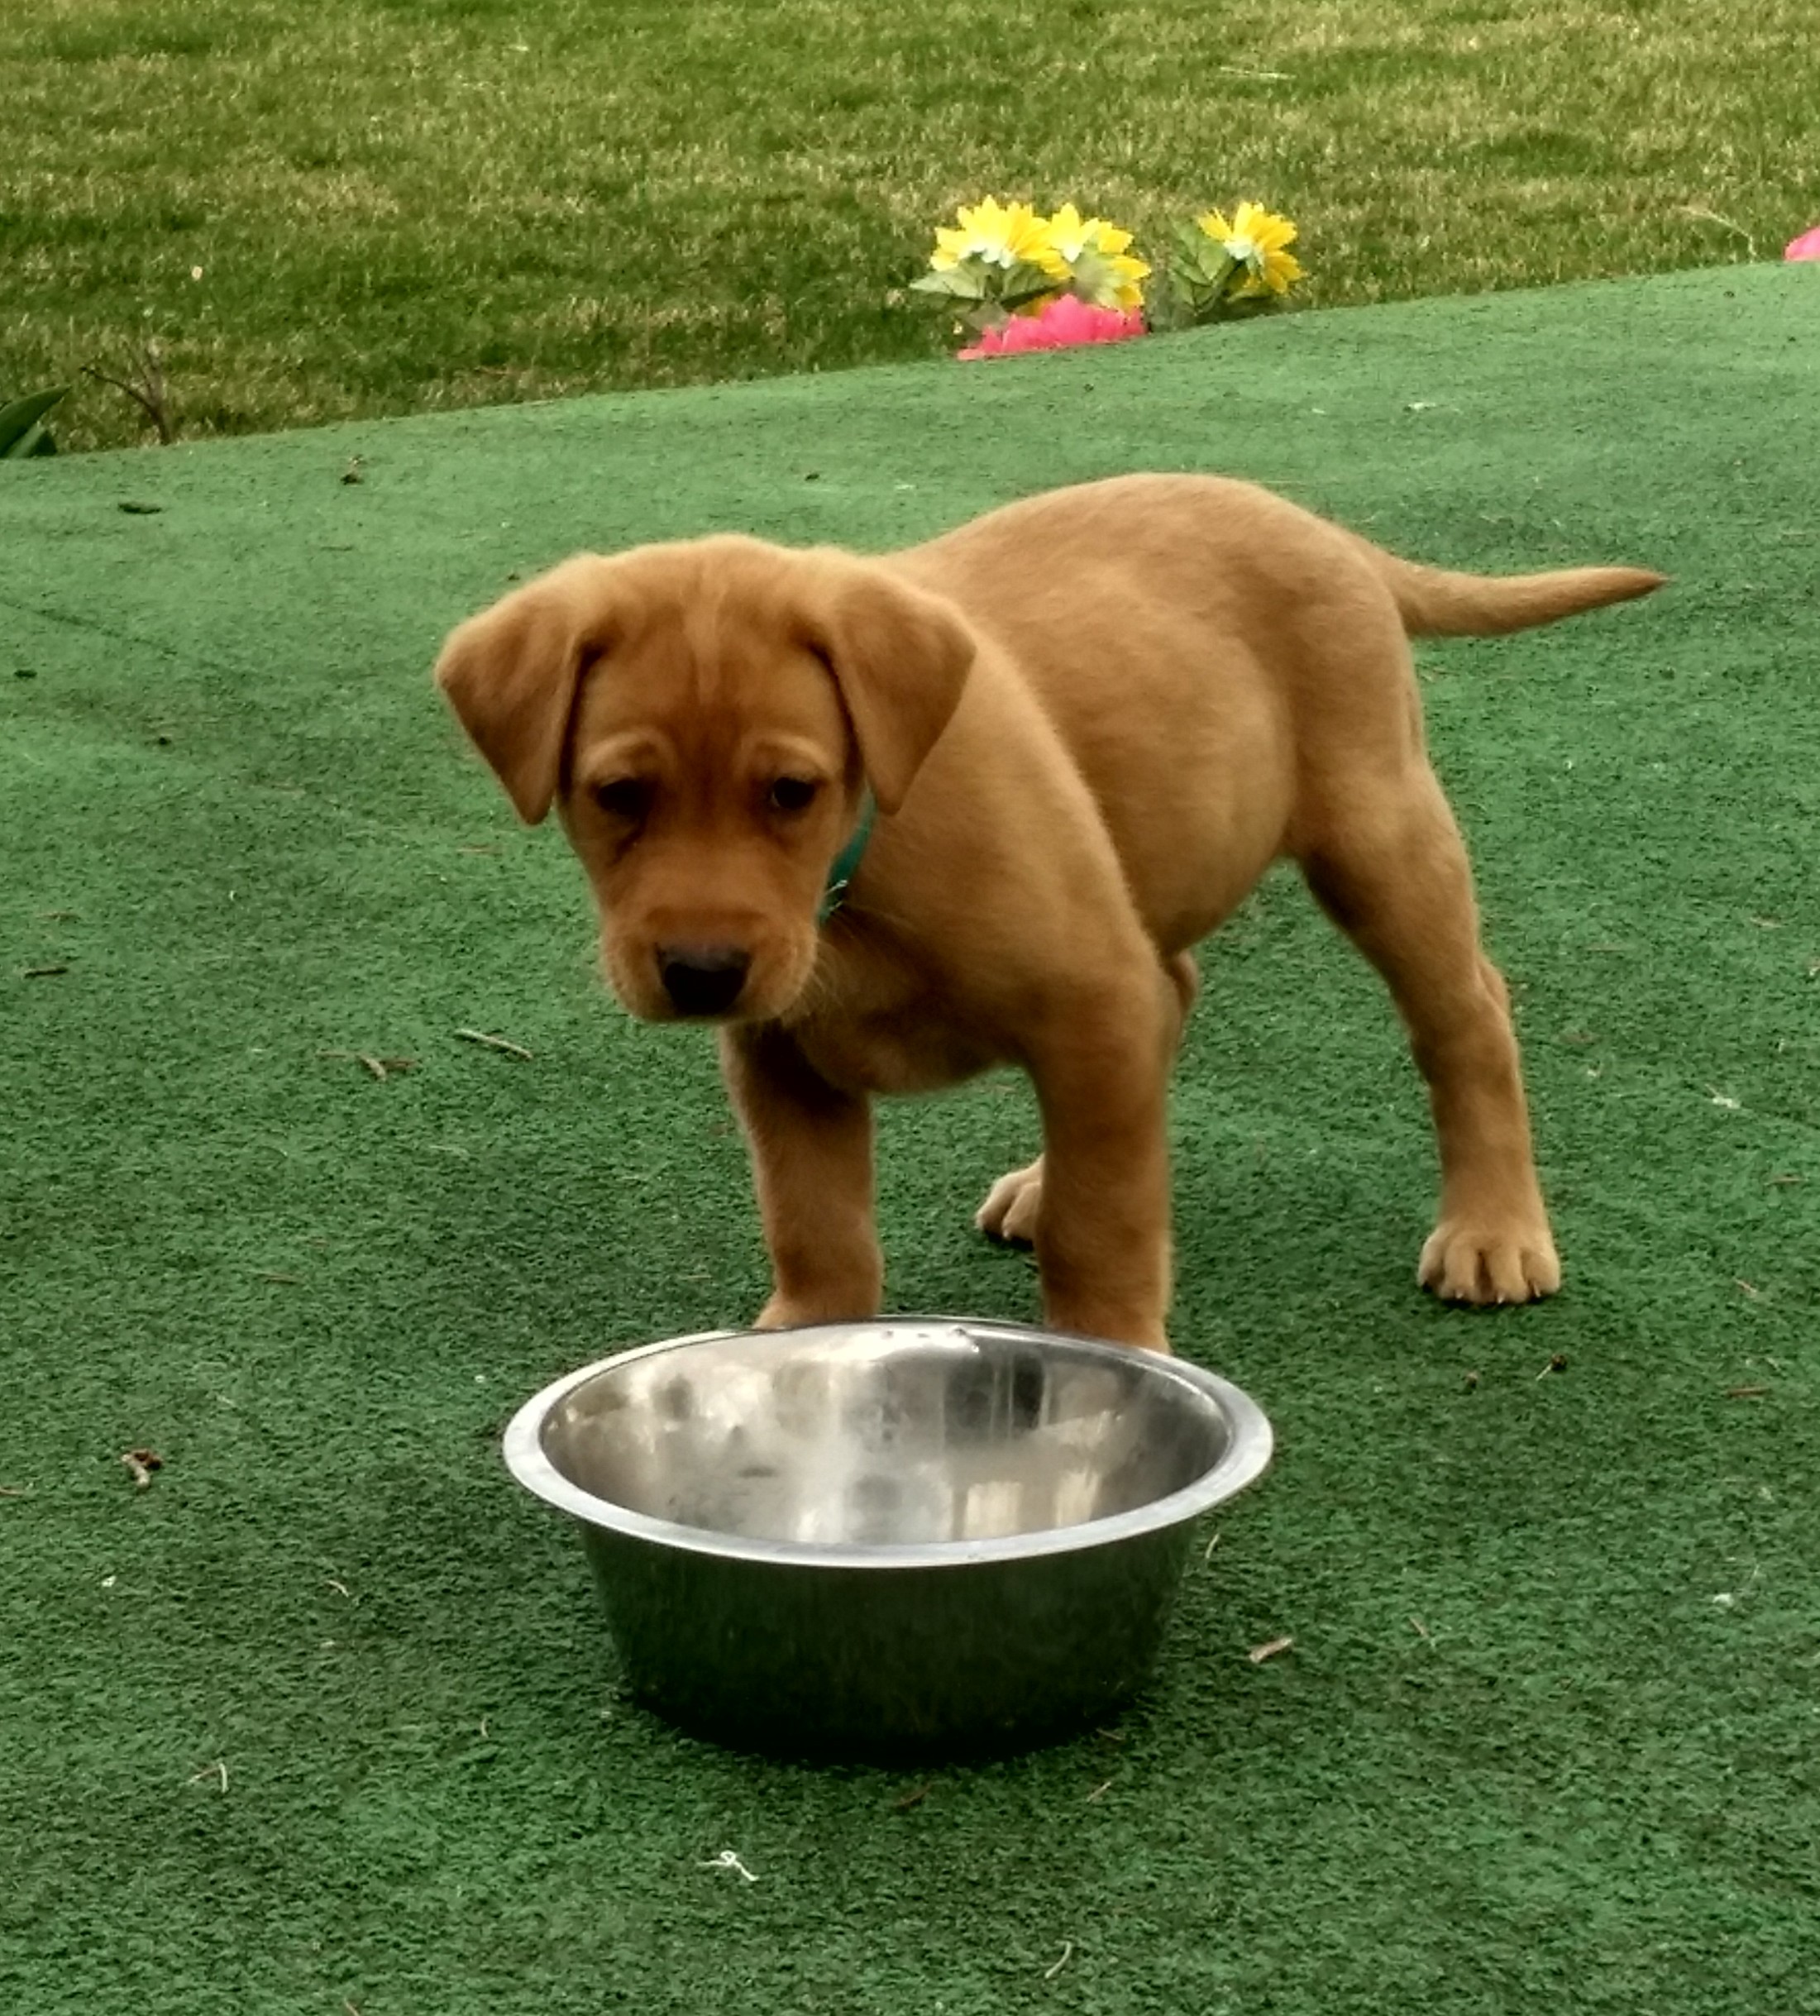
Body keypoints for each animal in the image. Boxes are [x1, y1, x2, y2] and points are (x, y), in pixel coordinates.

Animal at [433, 473, 1660, 1354]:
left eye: (789, 791)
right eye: (616, 794)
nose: (699, 971)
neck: (854, 877)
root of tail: (1319, 527)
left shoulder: (1087, 997)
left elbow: (1104, 1219)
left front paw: (1109, 1354)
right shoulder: (778, 1054)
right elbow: (813, 1221)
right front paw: (804, 1343)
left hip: (1376, 834)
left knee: (1465, 1015)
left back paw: (1494, 1227)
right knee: (1176, 991)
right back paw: (1040, 1176)